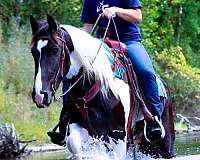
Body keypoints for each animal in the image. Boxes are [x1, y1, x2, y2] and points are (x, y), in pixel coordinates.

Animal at [29, 14, 175, 159]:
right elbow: (72, 142)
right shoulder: (80, 126)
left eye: (55, 50)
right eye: (33, 52)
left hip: (164, 144)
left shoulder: (118, 133)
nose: (40, 95)